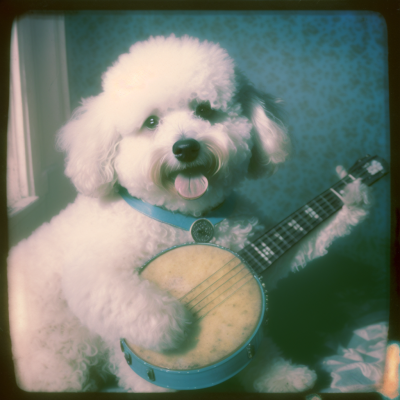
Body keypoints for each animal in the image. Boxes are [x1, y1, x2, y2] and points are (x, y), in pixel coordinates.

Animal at [7, 36, 368, 392]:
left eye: (204, 109)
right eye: (151, 122)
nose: (185, 148)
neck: (189, 217)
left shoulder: (254, 259)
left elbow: (287, 266)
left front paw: (353, 198)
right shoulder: (93, 278)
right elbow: (129, 300)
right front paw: (172, 323)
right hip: (57, 368)